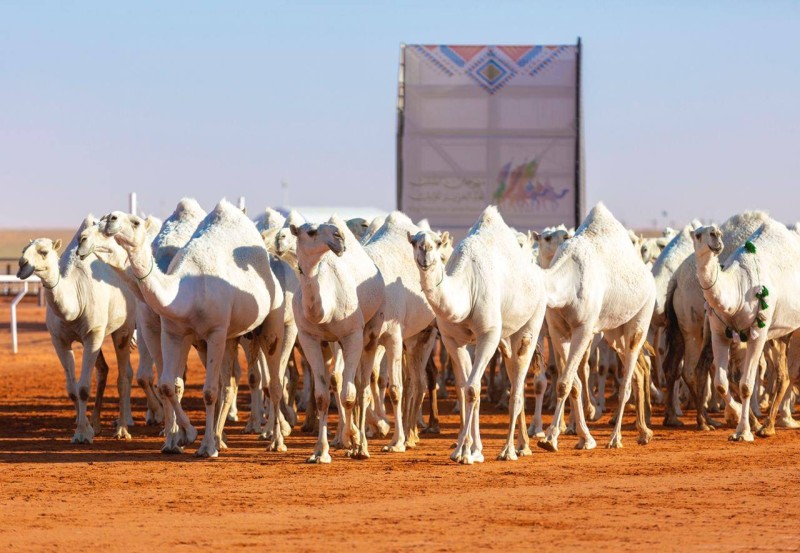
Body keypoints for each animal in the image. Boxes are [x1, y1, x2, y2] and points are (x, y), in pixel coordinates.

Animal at [410, 206, 548, 462]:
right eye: (413, 241)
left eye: (437, 242)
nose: (425, 251)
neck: (467, 289)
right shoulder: (453, 340)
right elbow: (465, 389)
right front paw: (468, 449)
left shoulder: (488, 335)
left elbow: (473, 389)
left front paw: (466, 453)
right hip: (505, 338)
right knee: (512, 371)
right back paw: (523, 445)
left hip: (533, 320)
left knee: (519, 382)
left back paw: (509, 450)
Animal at [536, 204, 656, 452]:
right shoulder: (558, 331)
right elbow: (572, 383)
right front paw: (585, 438)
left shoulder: (584, 328)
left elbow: (564, 383)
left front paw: (550, 438)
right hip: (614, 332)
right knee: (638, 371)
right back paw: (643, 433)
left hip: (641, 318)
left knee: (626, 383)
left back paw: (615, 438)